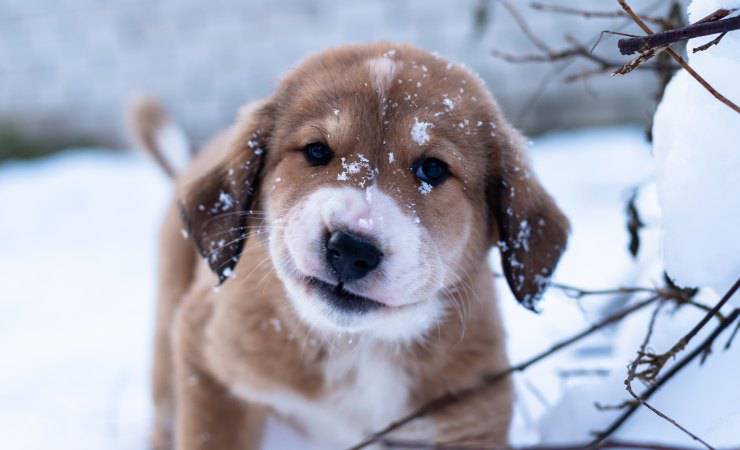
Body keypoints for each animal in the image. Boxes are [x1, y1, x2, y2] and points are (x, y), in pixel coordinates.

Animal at [130, 43, 568, 450]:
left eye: (432, 169)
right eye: (317, 151)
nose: (352, 249)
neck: (358, 346)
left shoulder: (472, 416)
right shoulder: (206, 361)